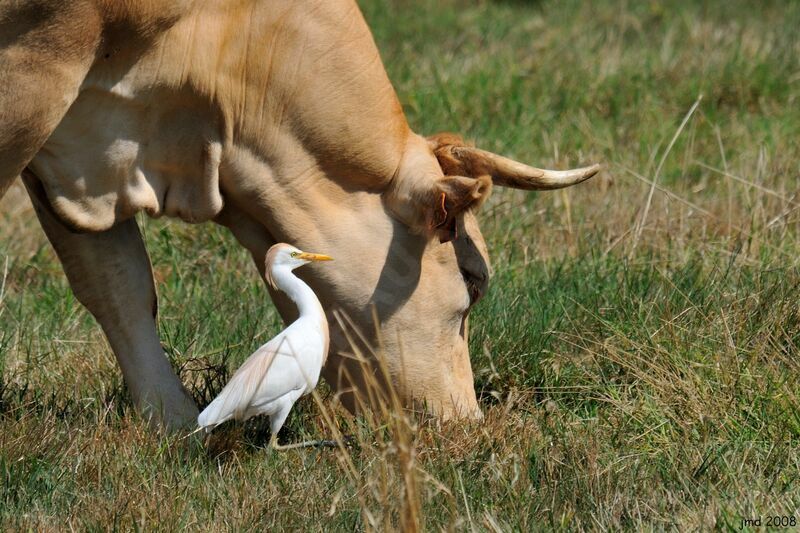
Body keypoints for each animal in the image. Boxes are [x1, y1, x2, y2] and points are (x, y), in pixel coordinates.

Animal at [1, 0, 600, 430]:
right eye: (474, 282)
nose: (467, 424)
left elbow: (117, 286)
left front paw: (171, 423)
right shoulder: (35, 74)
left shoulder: (77, 161)